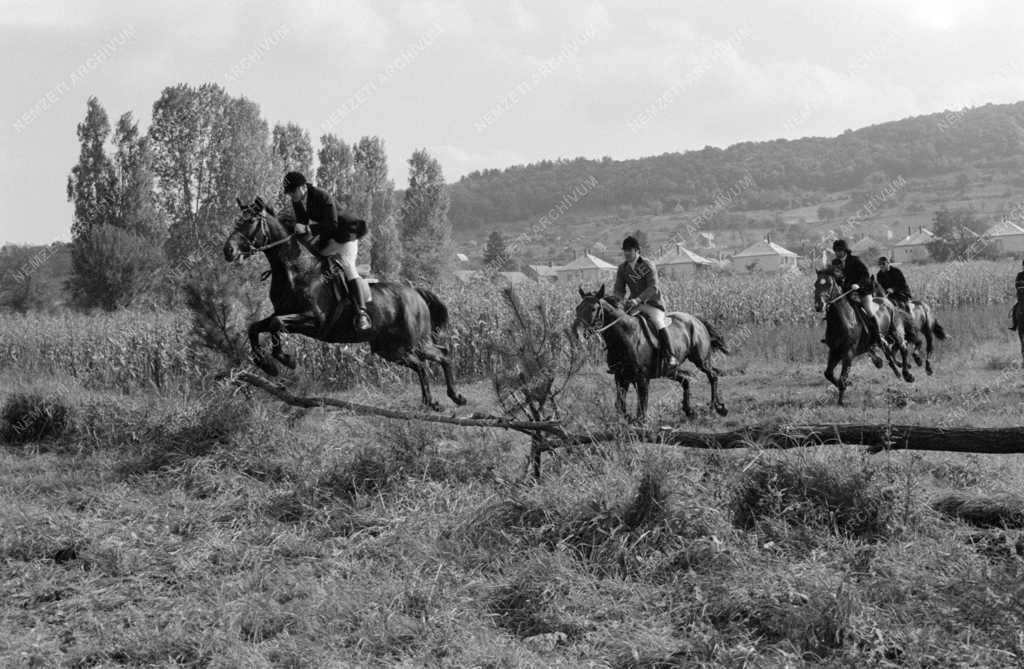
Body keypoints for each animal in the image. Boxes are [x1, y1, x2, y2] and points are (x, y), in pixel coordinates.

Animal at [224, 195, 468, 409]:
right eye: (236, 221)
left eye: (250, 222)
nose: (228, 251)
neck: (295, 269)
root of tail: (415, 293)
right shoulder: (285, 314)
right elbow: (256, 326)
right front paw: (266, 364)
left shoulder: (314, 320)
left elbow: (276, 324)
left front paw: (286, 360)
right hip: (390, 349)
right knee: (422, 364)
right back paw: (435, 401)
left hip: (412, 342)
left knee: (441, 355)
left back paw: (452, 397)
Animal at [573, 282, 733, 422]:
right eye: (577, 308)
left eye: (593, 309)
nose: (577, 334)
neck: (625, 337)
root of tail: (695, 319)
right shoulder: (620, 377)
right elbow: (620, 406)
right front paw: (629, 419)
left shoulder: (642, 379)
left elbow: (641, 407)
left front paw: (640, 423)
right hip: (669, 370)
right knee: (686, 380)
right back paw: (690, 410)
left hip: (701, 360)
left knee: (712, 376)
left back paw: (717, 407)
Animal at [811, 266, 917, 401]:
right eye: (815, 284)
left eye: (829, 284)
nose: (819, 305)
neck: (844, 320)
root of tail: (887, 301)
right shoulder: (834, 351)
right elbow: (828, 374)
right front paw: (847, 384)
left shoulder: (848, 352)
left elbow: (842, 378)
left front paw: (841, 401)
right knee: (888, 348)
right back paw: (892, 367)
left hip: (895, 331)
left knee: (903, 347)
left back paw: (907, 375)